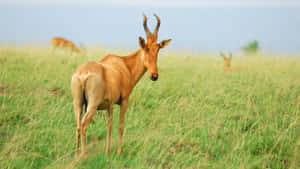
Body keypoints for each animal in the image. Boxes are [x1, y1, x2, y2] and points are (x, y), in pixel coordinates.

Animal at [71, 13, 172, 156]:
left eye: (158, 48)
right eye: (146, 47)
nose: (154, 76)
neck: (124, 65)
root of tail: (83, 73)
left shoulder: (109, 105)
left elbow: (109, 126)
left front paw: (107, 152)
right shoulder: (124, 101)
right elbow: (120, 126)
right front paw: (119, 152)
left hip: (78, 103)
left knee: (78, 126)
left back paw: (76, 153)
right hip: (92, 105)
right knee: (84, 125)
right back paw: (84, 154)